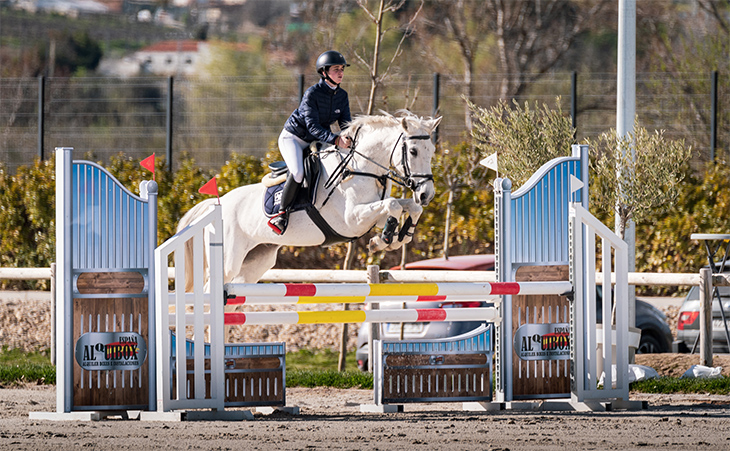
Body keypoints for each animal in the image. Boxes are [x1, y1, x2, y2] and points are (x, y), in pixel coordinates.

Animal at [179, 111, 440, 292]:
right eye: (413, 151)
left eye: (432, 151)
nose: (427, 194)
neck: (361, 168)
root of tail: (215, 205)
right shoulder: (352, 220)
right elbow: (394, 205)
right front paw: (383, 240)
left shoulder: (371, 217)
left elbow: (408, 206)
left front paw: (397, 237)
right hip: (228, 260)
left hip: (256, 261)